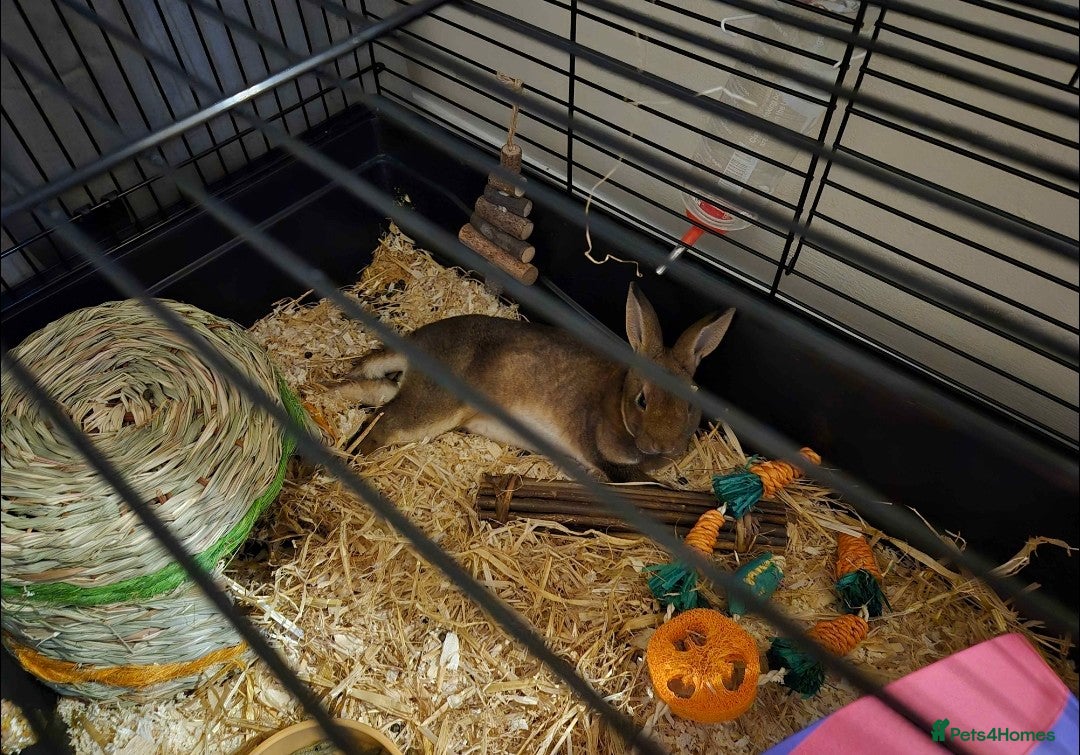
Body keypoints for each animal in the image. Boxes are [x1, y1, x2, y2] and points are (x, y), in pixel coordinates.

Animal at [328, 284, 735, 483]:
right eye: (642, 400)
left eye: (691, 405)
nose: (664, 446)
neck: (616, 399)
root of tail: (413, 345)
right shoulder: (604, 452)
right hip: (433, 407)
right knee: (381, 422)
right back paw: (349, 456)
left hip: (409, 391)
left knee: (371, 393)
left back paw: (329, 392)